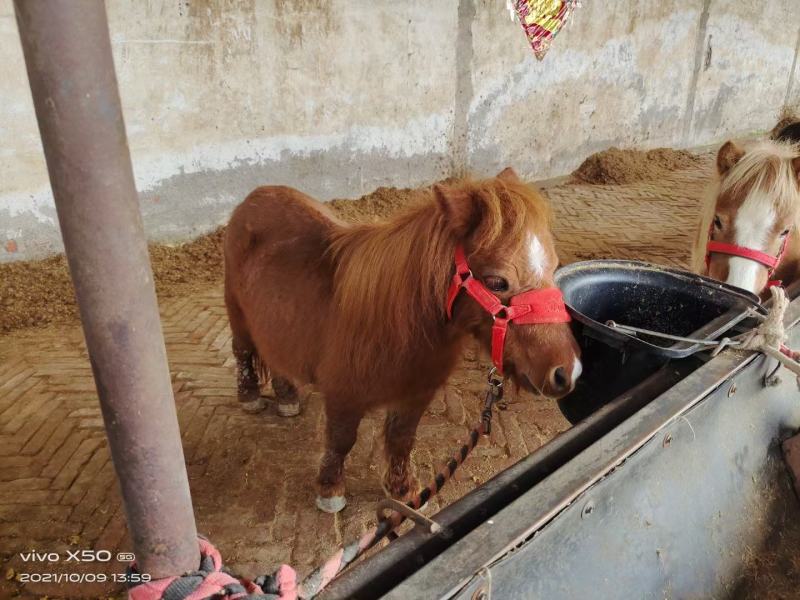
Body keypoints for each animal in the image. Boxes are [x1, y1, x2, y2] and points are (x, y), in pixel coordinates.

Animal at [223, 168, 582, 513]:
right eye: (497, 281)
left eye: (554, 267)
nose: (567, 371)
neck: (394, 323)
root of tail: (257, 195)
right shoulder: (342, 395)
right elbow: (341, 440)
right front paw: (330, 490)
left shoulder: (415, 395)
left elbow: (401, 439)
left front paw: (400, 490)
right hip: (237, 316)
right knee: (243, 352)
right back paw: (250, 396)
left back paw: (287, 397)